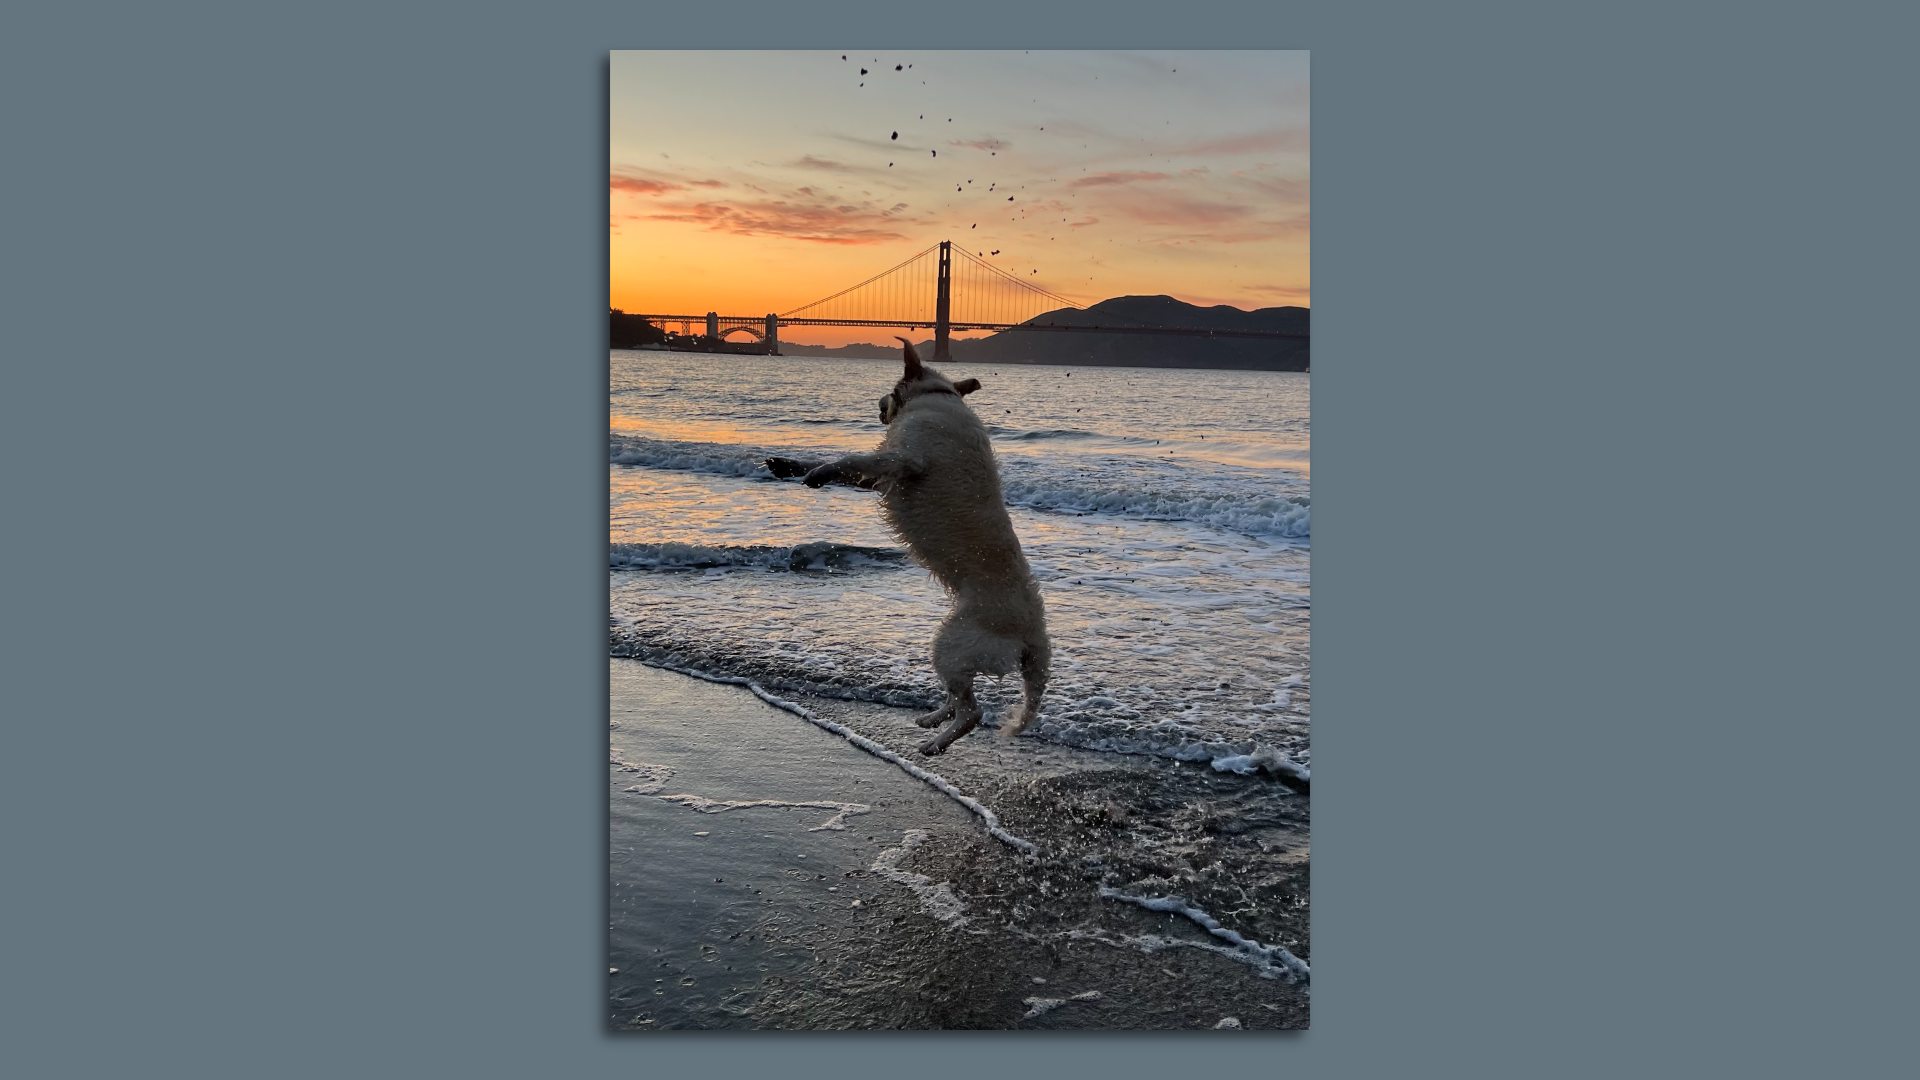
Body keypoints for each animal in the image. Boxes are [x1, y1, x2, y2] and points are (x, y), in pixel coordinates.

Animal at [760, 340, 1052, 753]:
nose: (876, 404)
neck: (936, 396)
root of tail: (1035, 636)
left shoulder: (904, 458)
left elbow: (849, 459)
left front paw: (817, 472)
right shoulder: (884, 472)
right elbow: (847, 465)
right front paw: (790, 465)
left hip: (953, 646)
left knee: (972, 711)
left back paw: (936, 743)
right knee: (957, 699)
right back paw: (933, 718)